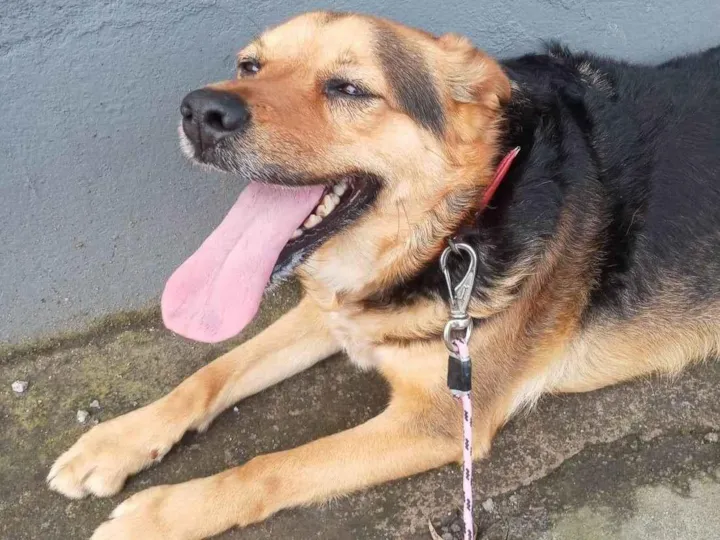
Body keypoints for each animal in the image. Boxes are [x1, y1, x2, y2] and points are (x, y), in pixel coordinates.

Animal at [47, 11, 720, 539]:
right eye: (249, 65)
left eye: (348, 87)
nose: (199, 111)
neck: (454, 228)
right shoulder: (333, 309)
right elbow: (211, 373)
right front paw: (117, 441)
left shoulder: (438, 421)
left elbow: (274, 465)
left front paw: (163, 513)